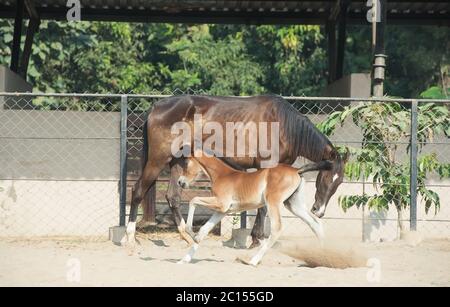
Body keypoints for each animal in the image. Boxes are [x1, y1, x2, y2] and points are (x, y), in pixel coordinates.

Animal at [177, 152, 326, 268]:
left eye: (186, 163)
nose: (180, 182)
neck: (222, 175)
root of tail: (297, 170)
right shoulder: (222, 211)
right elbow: (204, 230)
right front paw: (185, 258)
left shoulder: (221, 204)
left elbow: (193, 200)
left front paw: (190, 231)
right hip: (293, 204)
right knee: (315, 223)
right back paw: (323, 257)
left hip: (273, 202)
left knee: (277, 229)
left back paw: (253, 261)